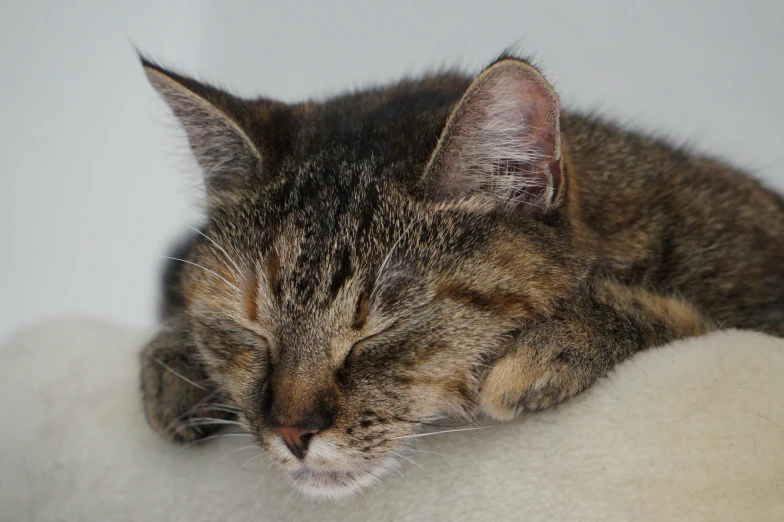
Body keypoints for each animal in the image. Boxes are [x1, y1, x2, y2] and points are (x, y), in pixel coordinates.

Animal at [138, 52, 780, 496]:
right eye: (249, 330)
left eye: (379, 332)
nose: (292, 431)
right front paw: (175, 360)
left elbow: (689, 319)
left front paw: (556, 345)